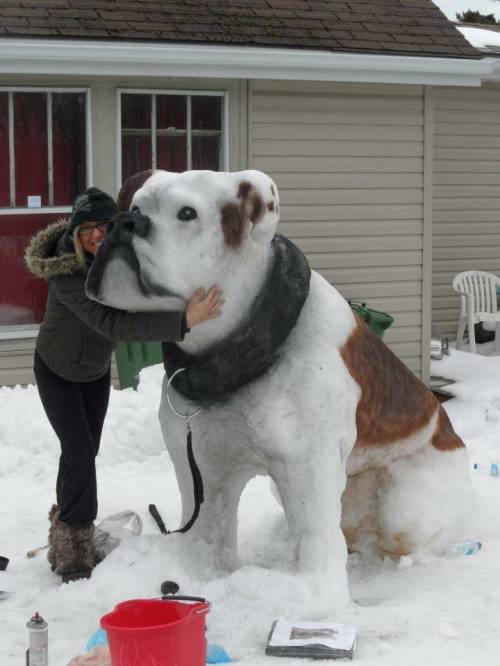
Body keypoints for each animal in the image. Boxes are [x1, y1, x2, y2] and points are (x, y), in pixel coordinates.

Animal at [88, 169, 474, 600]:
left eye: (187, 213)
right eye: (135, 206)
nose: (124, 223)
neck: (244, 348)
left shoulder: (308, 467)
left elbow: (315, 542)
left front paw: (307, 594)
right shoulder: (202, 467)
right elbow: (208, 531)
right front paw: (198, 573)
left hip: (404, 506)